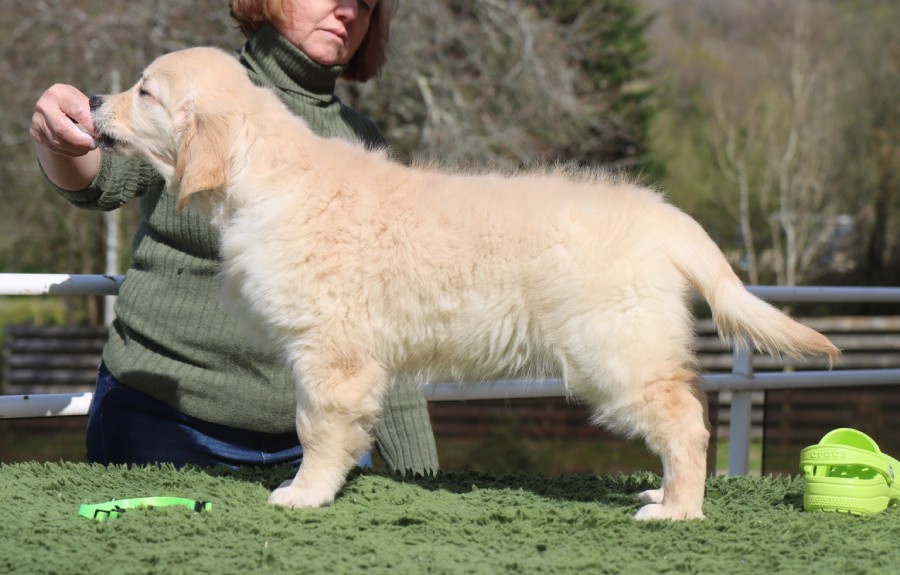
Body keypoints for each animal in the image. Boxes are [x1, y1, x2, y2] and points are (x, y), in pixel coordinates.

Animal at [89, 47, 839, 520]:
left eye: (145, 91)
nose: (92, 99)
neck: (266, 176)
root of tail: (665, 216)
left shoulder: (331, 353)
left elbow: (317, 427)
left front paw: (305, 493)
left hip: (618, 348)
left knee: (686, 422)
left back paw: (678, 509)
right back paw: (663, 497)